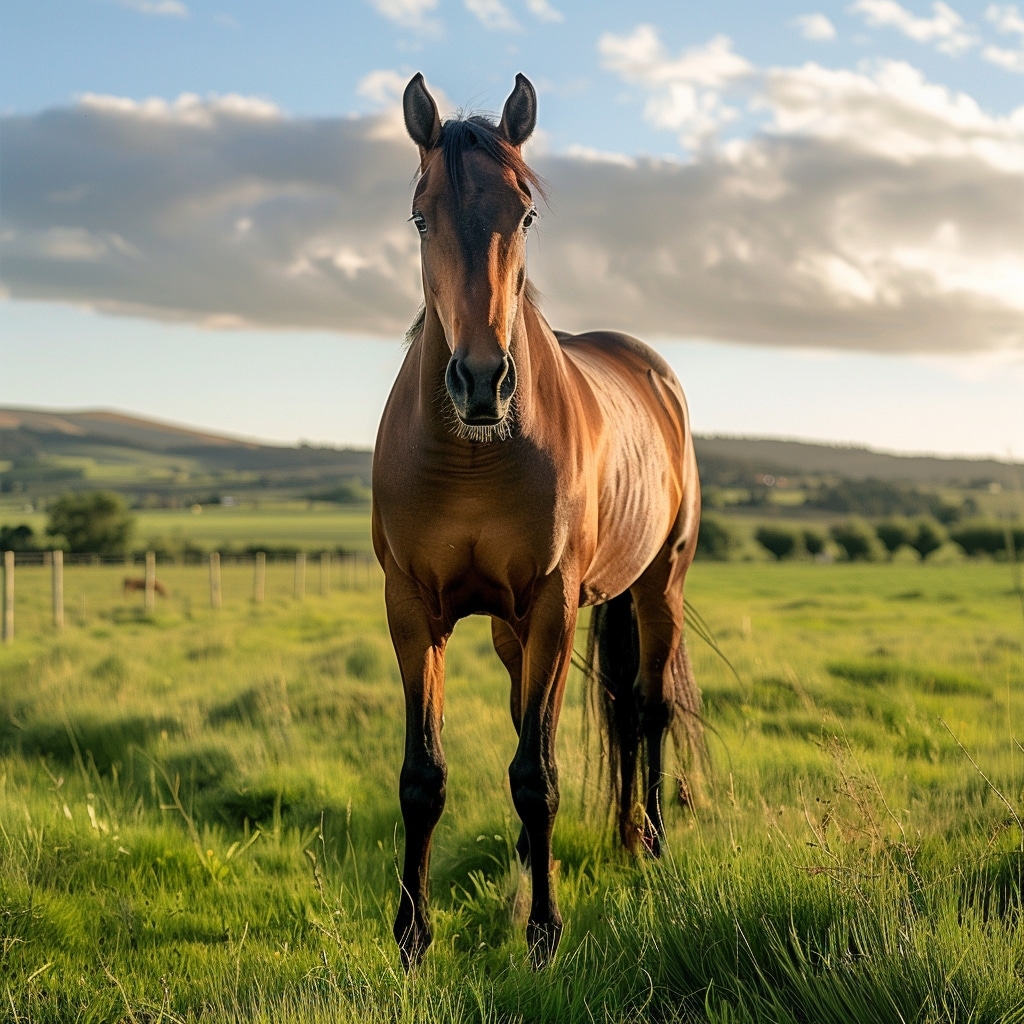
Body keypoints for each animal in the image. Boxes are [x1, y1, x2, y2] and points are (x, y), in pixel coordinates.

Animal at [372, 72, 708, 966]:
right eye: (420, 216)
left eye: (523, 214)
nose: (482, 381)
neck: (473, 456)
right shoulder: (413, 609)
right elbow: (425, 777)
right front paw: (412, 935)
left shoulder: (555, 602)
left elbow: (539, 774)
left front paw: (545, 934)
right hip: (511, 626)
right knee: (568, 715)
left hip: (657, 586)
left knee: (646, 710)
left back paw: (650, 843)